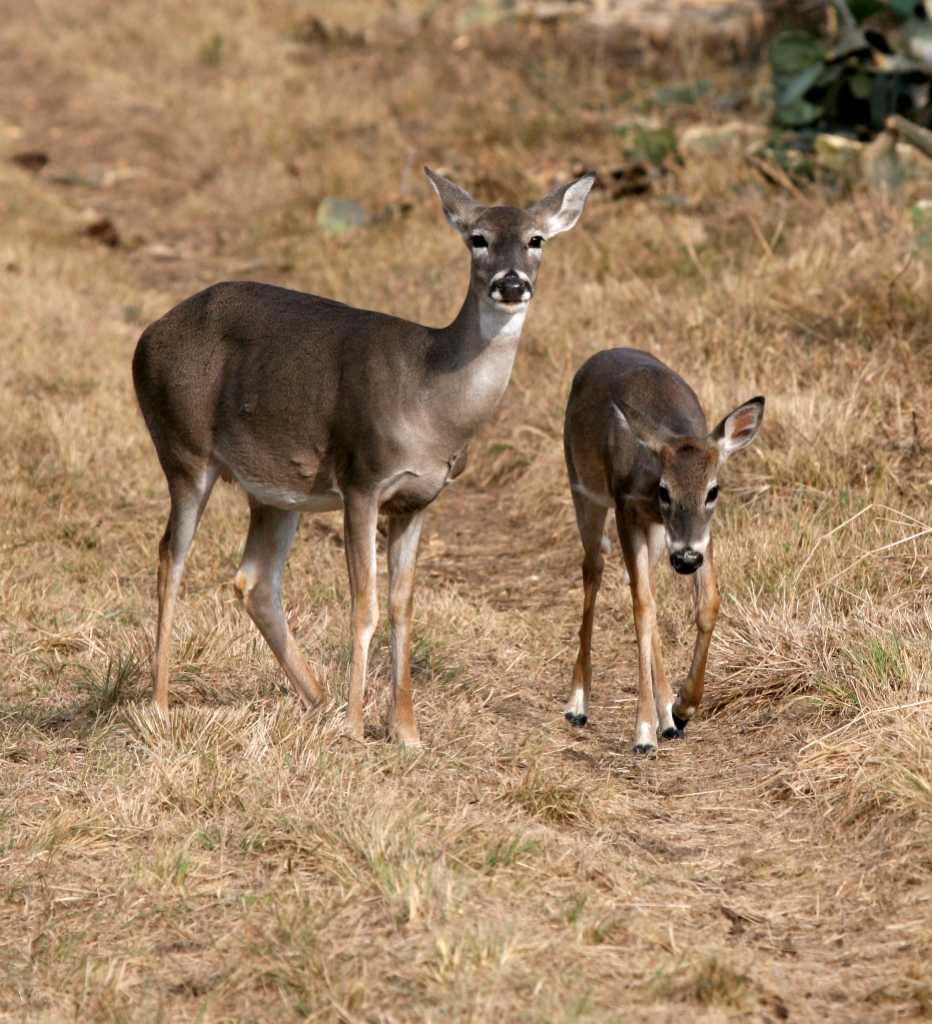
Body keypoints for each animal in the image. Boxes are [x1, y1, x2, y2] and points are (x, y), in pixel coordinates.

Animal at [132, 167, 595, 747]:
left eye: (536, 239)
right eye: (478, 238)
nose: (511, 285)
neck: (433, 397)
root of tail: (148, 336)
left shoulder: (417, 502)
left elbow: (402, 607)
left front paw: (406, 731)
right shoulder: (362, 480)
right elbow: (364, 607)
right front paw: (356, 727)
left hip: (276, 489)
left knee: (254, 580)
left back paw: (317, 699)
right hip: (184, 449)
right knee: (170, 558)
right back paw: (160, 704)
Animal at [562, 348, 764, 755]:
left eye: (713, 491)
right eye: (665, 491)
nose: (685, 559)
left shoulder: (699, 533)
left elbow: (708, 603)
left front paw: (683, 707)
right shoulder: (626, 507)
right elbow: (641, 607)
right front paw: (643, 732)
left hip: (653, 534)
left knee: (644, 586)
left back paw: (668, 717)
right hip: (583, 487)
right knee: (594, 569)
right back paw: (578, 704)